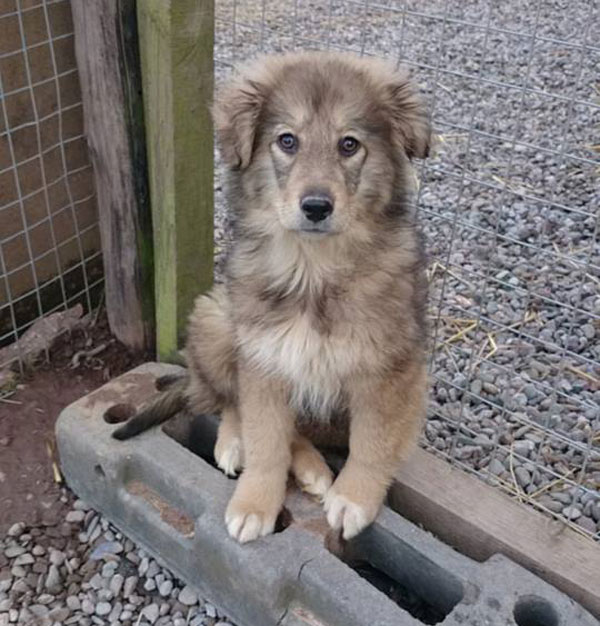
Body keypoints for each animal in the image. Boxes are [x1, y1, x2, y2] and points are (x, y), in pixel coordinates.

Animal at [115, 52, 428, 540]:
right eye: (287, 140)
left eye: (349, 145)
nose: (316, 207)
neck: (313, 271)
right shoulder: (264, 360)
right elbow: (265, 440)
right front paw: (254, 503)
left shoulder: (391, 370)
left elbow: (372, 442)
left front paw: (354, 497)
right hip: (218, 318)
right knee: (228, 401)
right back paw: (236, 444)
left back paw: (315, 471)